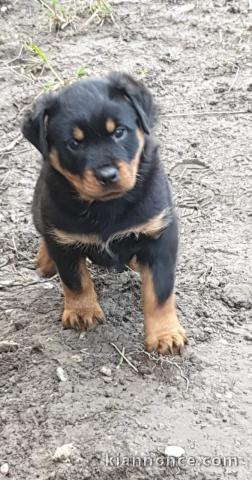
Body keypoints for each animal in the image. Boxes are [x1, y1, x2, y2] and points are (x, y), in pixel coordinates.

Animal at [21, 73, 187, 354]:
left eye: (119, 132)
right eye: (74, 143)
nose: (107, 175)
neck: (106, 207)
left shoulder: (159, 233)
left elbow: (160, 291)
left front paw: (166, 335)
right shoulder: (63, 239)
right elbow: (74, 279)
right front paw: (82, 311)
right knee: (44, 231)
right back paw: (45, 261)